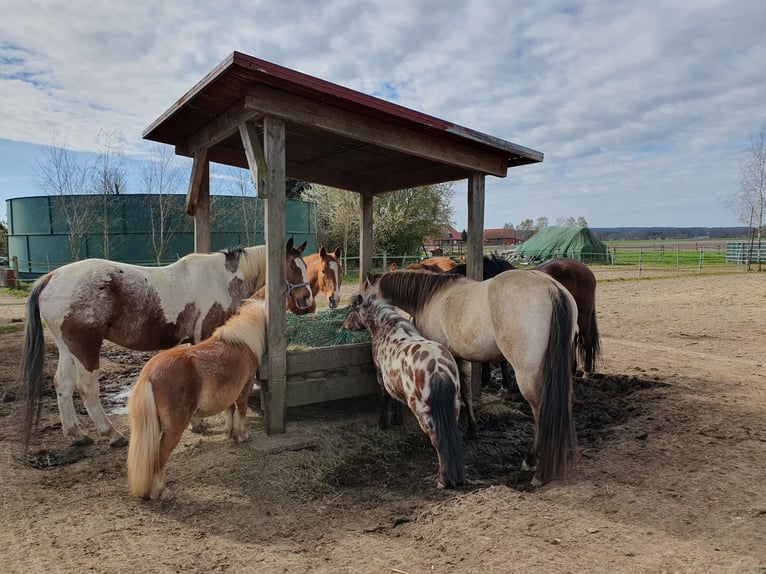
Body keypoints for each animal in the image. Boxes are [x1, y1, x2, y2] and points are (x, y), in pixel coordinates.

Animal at [20, 239, 309, 450]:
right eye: (293, 267)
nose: (306, 299)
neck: (223, 279)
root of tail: (52, 277)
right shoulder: (205, 336)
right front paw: (200, 423)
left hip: (68, 349)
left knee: (63, 384)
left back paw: (76, 434)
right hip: (86, 348)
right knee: (87, 389)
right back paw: (111, 434)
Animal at [127, 298, 268, 501]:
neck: (241, 341)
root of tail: (148, 375)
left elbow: (230, 410)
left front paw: (230, 433)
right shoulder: (244, 389)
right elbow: (241, 411)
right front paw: (243, 436)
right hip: (173, 430)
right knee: (159, 457)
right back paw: (162, 492)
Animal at [343, 293, 464, 488]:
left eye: (352, 309)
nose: (346, 325)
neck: (387, 329)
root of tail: (438, 369)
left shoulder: (380, 377)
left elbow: (386, 399)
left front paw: (383, 422)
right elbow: (396, 400)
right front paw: (397, 419)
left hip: (424, 413)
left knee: (438, 439)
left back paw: (443, 480)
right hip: (454, 407)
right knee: (452, 436)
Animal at [365, 269, 579, 485]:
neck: (431, 296)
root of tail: (551, 287)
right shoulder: (459, 358)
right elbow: (466, 394)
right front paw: (472, 429)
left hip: (527, 372)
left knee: (539, 409)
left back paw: (535, 465)